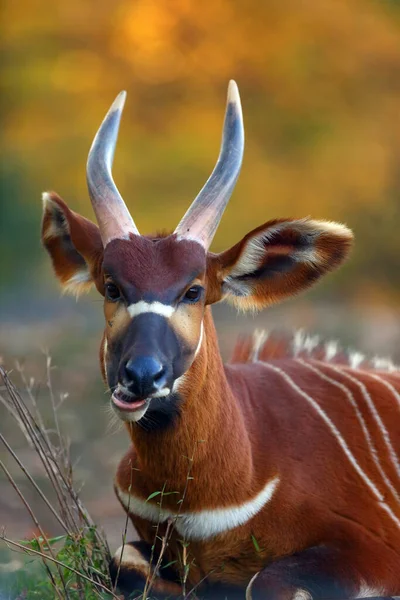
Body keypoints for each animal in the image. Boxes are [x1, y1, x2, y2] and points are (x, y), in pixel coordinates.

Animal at [41, 82, 400, 596]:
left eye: (193, 290)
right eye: (111, 287)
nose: (140, 376)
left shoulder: (372, 551)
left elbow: (262, 582)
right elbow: (123, 562)